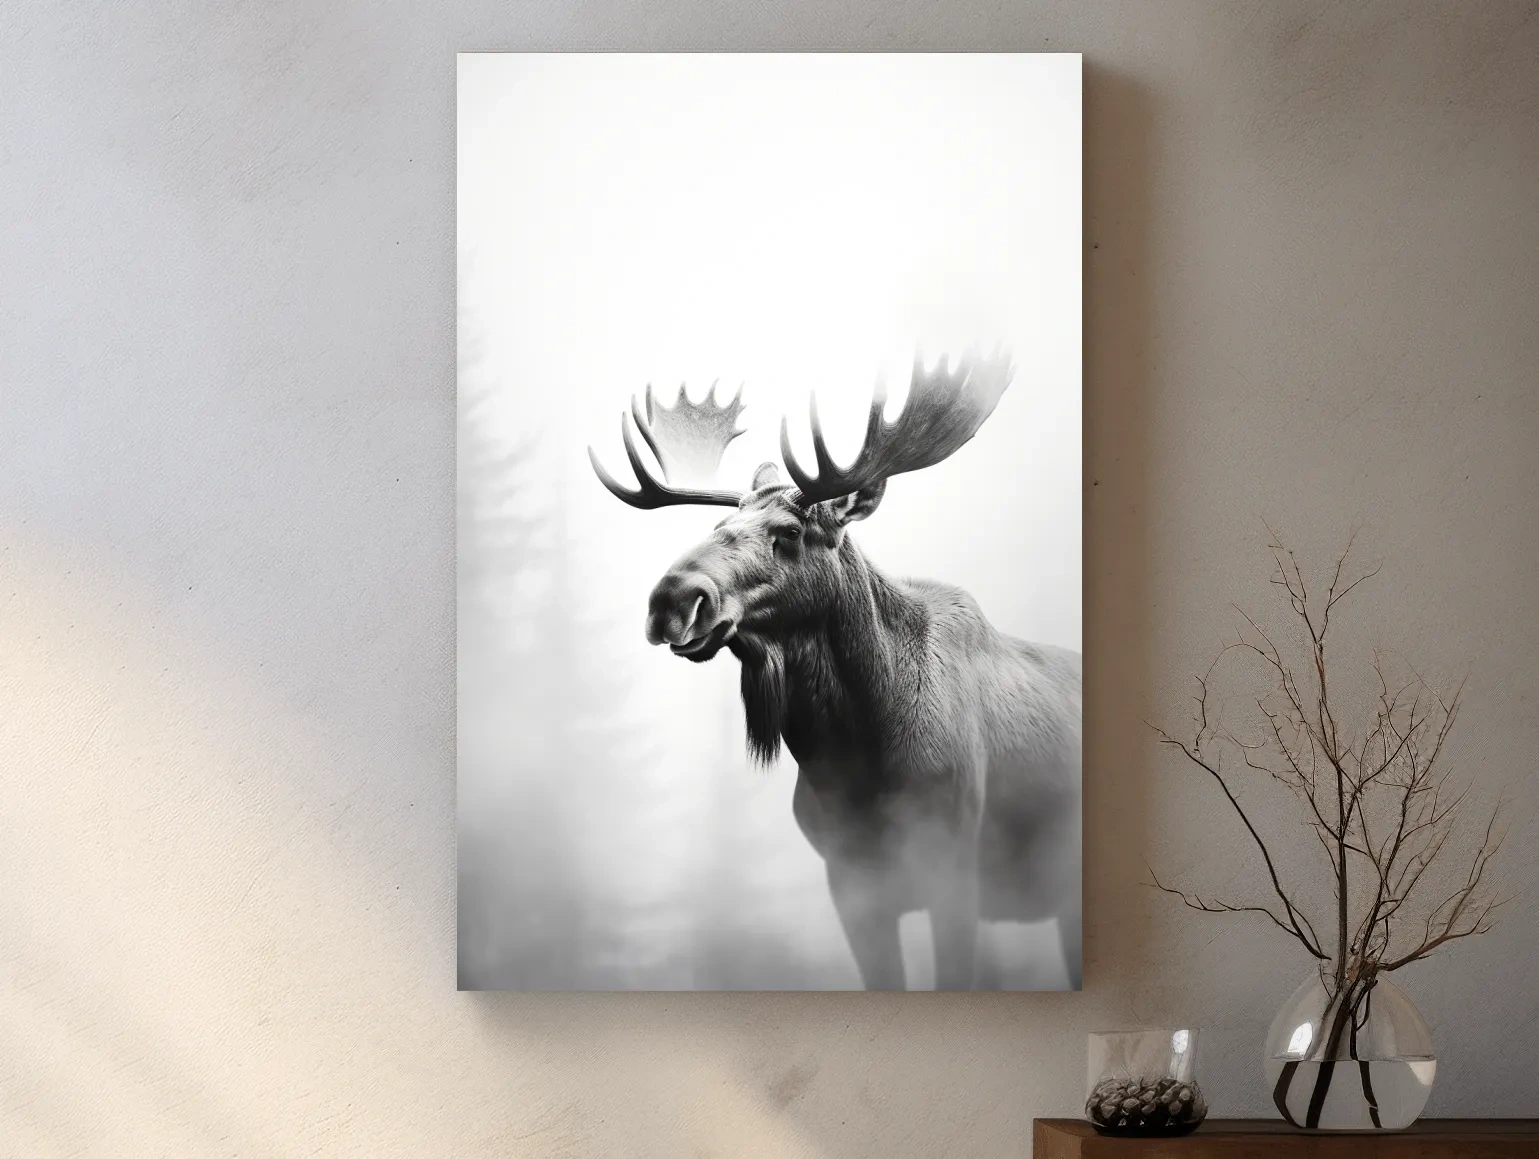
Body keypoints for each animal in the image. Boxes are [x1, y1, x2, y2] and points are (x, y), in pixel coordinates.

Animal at [588, 351, 1082, 990]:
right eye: (715, 529)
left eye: (790, 532)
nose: (672, 598)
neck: (855, 757)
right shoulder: (851, 885)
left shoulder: (955, 870)